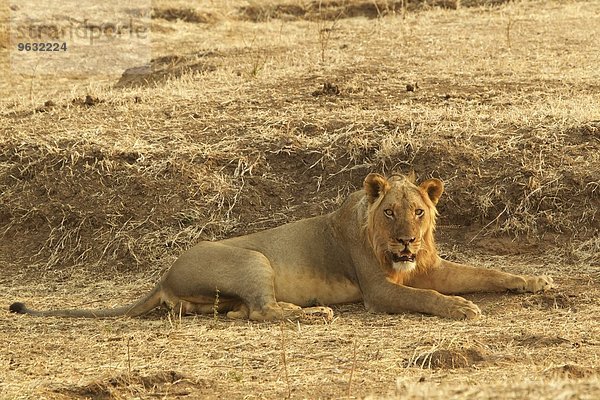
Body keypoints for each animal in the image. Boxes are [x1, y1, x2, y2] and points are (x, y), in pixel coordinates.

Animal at [8, 173, 552, 320]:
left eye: (419, 211)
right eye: (389, 213)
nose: (406, 240)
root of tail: (162, 275)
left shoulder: (426, 266)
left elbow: (486, 273)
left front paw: (534, 280)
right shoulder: (380, 291)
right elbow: (427, 298)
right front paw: (460, 308)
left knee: (240, 313)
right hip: (254, 258)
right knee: (262, 311)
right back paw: (313, 314)